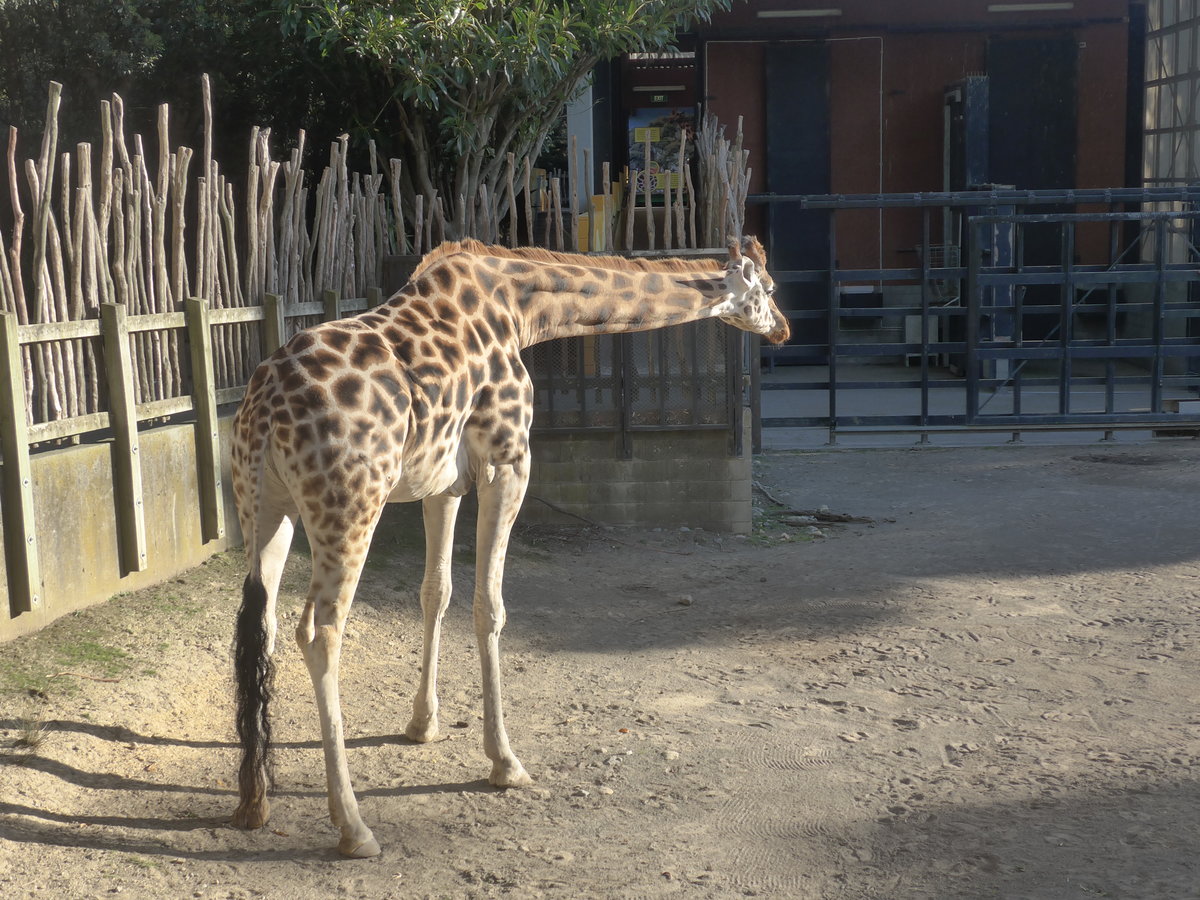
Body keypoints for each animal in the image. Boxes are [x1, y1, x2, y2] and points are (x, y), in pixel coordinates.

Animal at [229, 236, 789, 857]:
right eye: (769, 289)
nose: (783, 329)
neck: (523, 312)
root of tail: (265, 405)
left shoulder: (442, 482)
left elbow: (436, 592)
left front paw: (422, 726)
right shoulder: (508, 460)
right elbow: (489, 607)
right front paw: (505, 763)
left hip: (265, 504)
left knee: (260, 622)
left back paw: (254, 801)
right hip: (350, 504)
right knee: (319, 630)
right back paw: (353, 826)